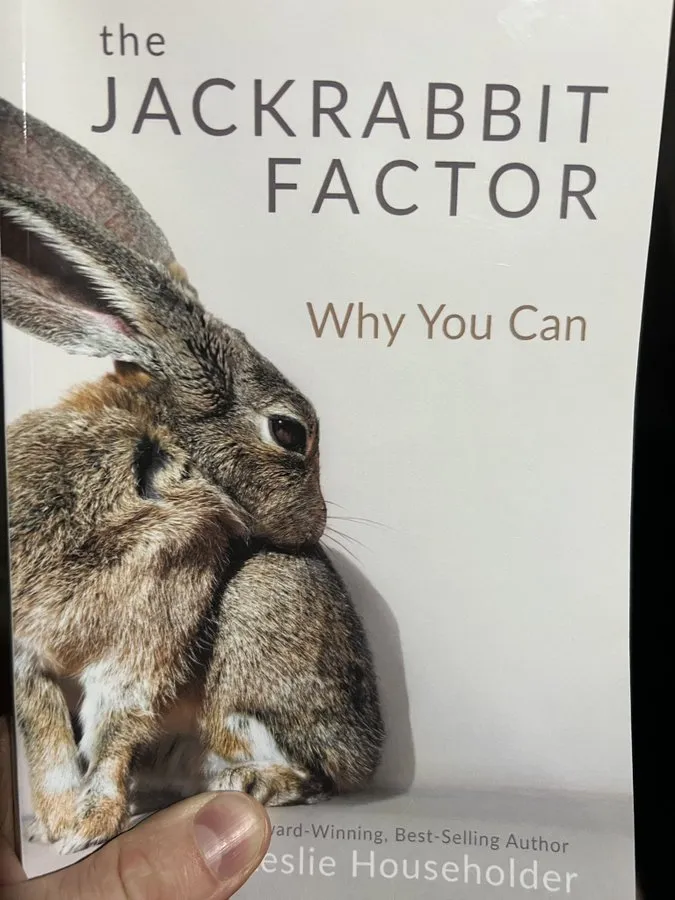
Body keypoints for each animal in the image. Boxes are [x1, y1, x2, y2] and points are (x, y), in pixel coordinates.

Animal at [0, 97, 384, 852]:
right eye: (290, 432)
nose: (316, 524)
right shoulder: (28, 657)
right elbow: (49, 741)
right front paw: (58, 829)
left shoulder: (147, 636)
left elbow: (112, 730)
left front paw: (88, 828)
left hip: (257, 618)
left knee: (310, 771)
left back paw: (251, 789)